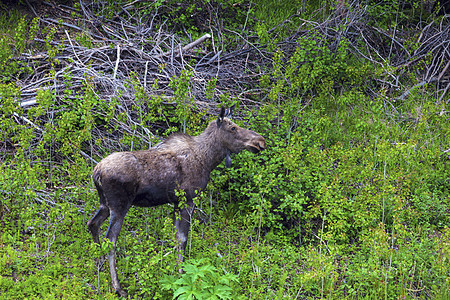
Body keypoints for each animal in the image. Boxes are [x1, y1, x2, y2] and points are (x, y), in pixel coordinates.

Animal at [86, 105, 266, 296]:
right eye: (233, 128)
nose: (260, 141)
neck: (209, 159)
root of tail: (96, 172)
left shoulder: (175, 202)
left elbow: (175, 238)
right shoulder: (188, 199)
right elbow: (182, 239)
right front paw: (181, 273)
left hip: (105, 204)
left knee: (93, 223)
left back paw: (100, 264)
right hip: (119, 206)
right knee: (110, 240)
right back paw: (118, 287)